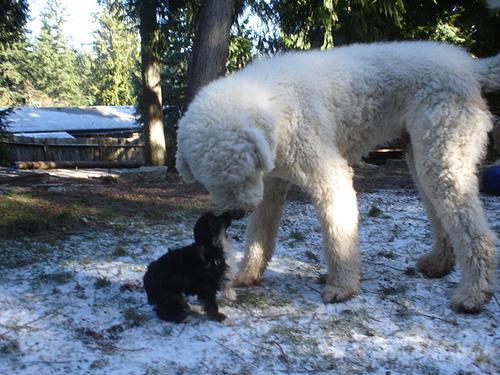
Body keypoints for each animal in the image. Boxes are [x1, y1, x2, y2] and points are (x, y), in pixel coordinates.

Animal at [176, 41, 496, 314]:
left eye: (244, 173)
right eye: (211, 183)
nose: (236, 212)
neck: (275, 102)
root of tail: (469, 66)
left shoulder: (330, 178)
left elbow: (338, 236)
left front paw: (342, 288)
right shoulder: (271, 186)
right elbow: (259, 233)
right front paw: (247, 274)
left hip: (444, 155)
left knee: (475, 231)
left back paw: (473, 294)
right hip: (422, 158)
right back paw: (439, 264)